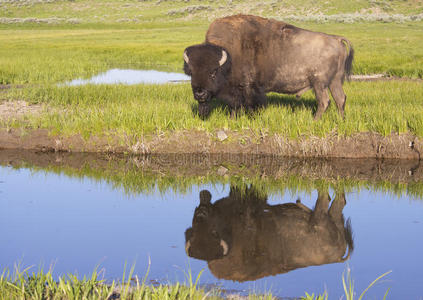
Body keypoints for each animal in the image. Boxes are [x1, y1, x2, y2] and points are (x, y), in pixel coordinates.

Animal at [184, 14, 352, 119]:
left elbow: (245, 104)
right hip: (334, 81)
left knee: (324, 101)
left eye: (213, 72)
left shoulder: (247, 87)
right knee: (340, 99)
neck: (229, 57)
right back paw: (341, 120)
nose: (200, 94)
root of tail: (336, 39)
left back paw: (315, 120)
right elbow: (236, 105)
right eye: (191, 72)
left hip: (319, 83)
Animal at [186, 185, 354, 282]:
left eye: (213, 230)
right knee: (338, 202)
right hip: (333, 218)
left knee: (325, 199)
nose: (201, 212)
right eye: (195, 228)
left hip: (319, 218)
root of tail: (337, 257)